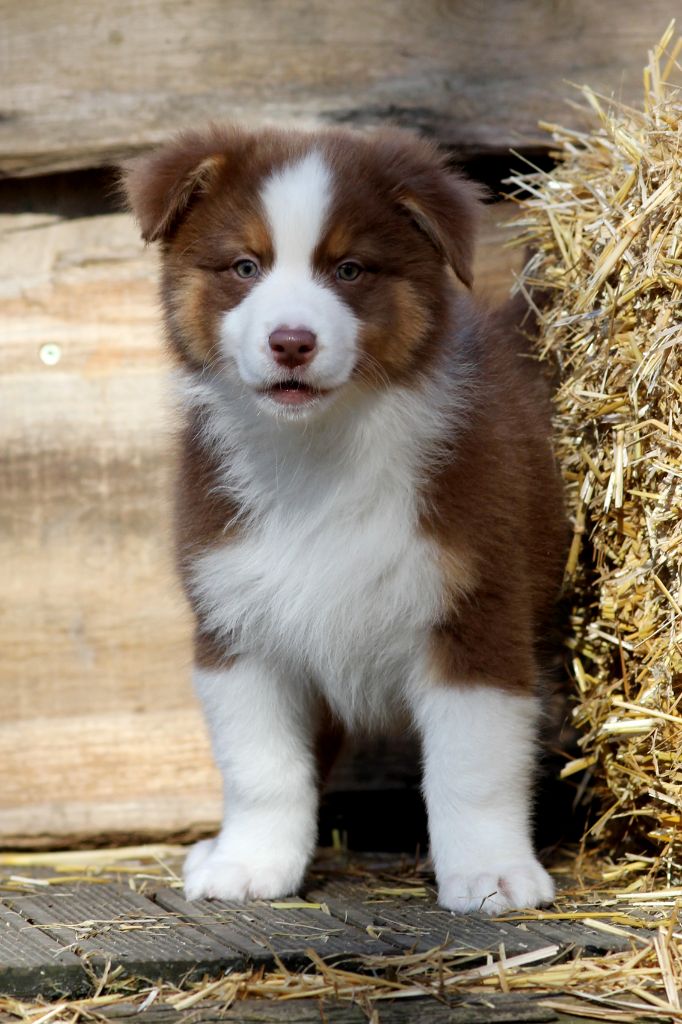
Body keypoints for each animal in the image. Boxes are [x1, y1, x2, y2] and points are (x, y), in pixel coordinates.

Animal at [122, 124, 567, 914]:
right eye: (245, 265)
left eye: (350, 270)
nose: (291, 342)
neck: (318, 453)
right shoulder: (237, 621)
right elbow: (261, 765)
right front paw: (250, 862)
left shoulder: (477, 608)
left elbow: (472, 764)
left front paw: (490, 873)